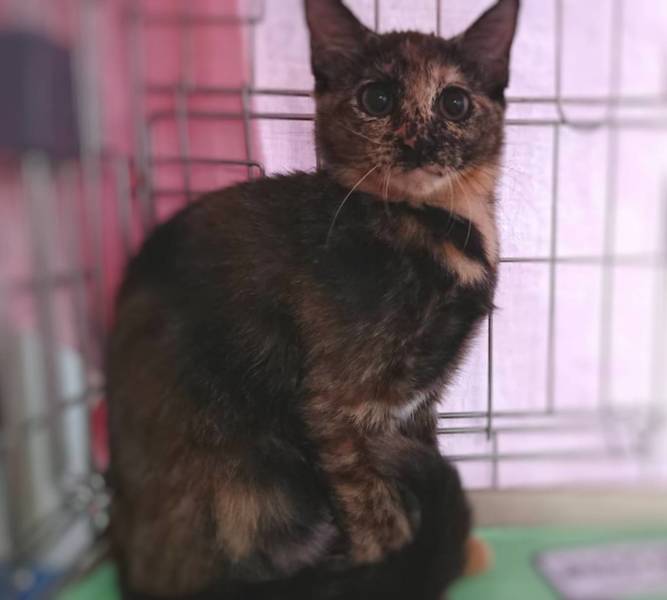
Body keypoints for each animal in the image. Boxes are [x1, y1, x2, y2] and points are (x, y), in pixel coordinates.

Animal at [107, 0, 519, 599]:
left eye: (456, 102)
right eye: (377, 99)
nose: (418, 142)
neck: (437, 228)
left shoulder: (418, 407)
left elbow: (419, 473)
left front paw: (455, 553)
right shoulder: (337, 409)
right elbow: (377, 509)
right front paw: (407, 565)